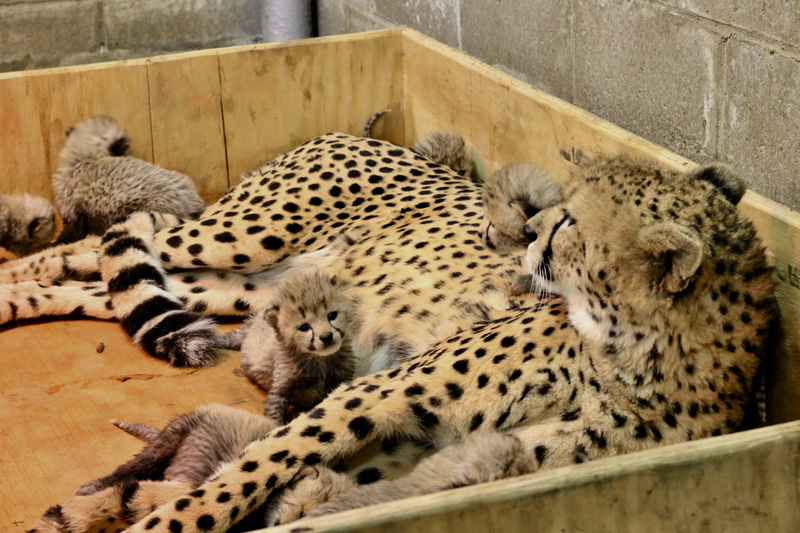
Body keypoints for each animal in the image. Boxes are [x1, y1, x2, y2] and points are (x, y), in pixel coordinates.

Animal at [27, 145, 776, 533]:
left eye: (571, 223)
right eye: (559, 208)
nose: (526, 233)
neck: (630, 362)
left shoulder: (451, 450)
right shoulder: (373, 392)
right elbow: (251, 470)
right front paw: (168, 521)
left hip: (240, 288)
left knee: (103, 286)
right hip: (240, 236)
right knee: (94, 246)